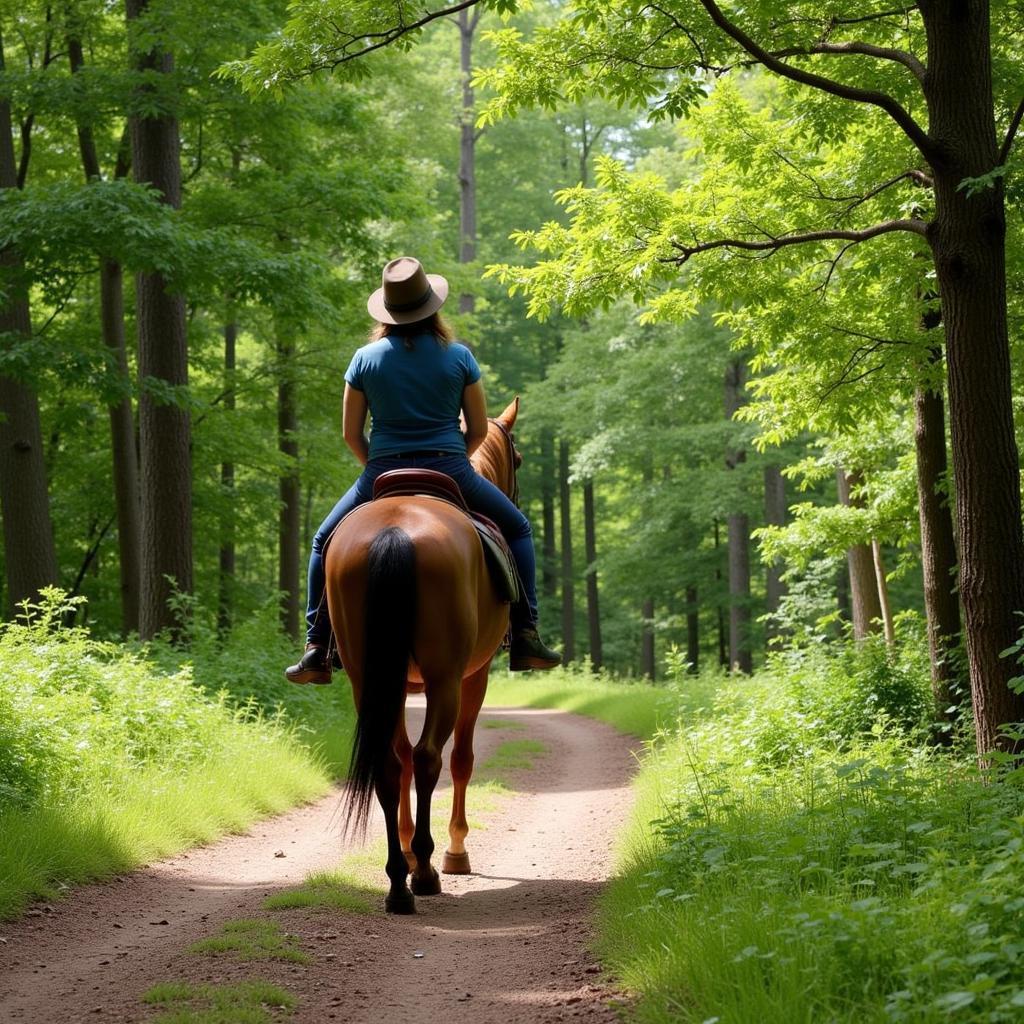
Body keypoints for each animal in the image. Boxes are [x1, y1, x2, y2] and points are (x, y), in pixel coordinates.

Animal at [325, 393, 524, 913]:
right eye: (517, 459)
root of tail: (396, 530)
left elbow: (400, 759)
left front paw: (410, 850)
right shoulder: (475, 676)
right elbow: (462, 760)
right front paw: (454, 851)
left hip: (366, 677)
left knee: (390, 763)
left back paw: (399, 881)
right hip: (444, 677)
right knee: (432, 756)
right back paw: (428, 872)